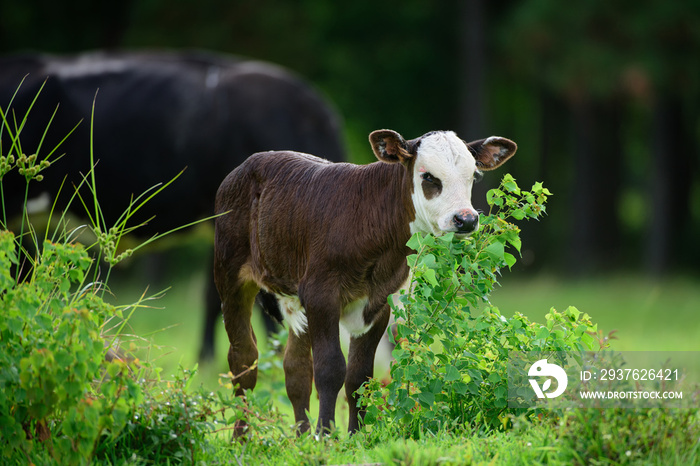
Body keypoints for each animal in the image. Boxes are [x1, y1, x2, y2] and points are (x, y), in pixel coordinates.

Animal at [216, 127, 516, 434]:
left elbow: (359, 376)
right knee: (243, 359)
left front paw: (355, 436)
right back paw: (242, 436)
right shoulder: (321, 295)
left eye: (473, 176)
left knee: (296, 369)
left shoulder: (379, 302)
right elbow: (330, 369)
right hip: (230, 277)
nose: (465, 220)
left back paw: (300, 435)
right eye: (428, 176)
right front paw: (326, 435)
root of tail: (249, 164)